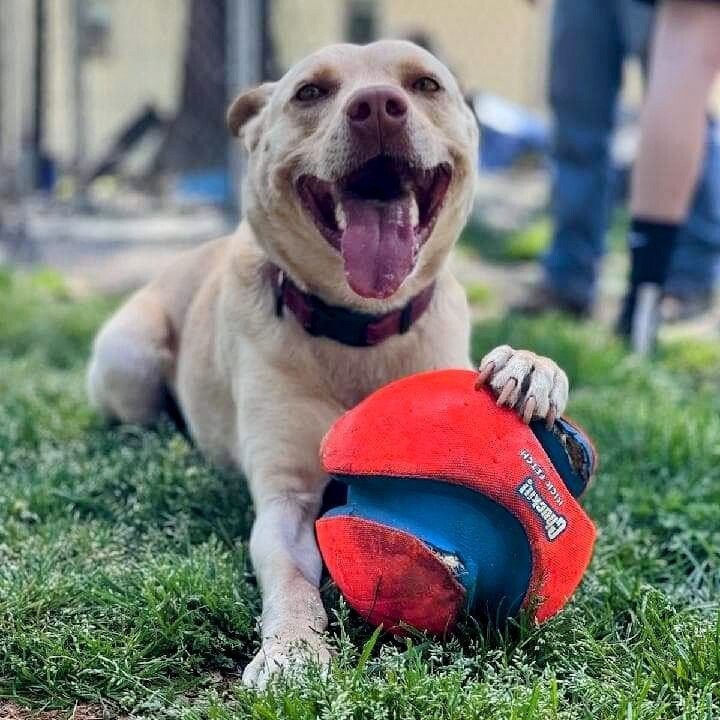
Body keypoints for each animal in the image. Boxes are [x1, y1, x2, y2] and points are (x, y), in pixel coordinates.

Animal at [87, 40, 568, 688]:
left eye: (425, 83)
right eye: (310, 92)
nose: (378, 107)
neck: (361, 329)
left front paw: (530, 365)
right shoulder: (285, 496)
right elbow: (290, 575)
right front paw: (292, 649)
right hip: (128, 358)